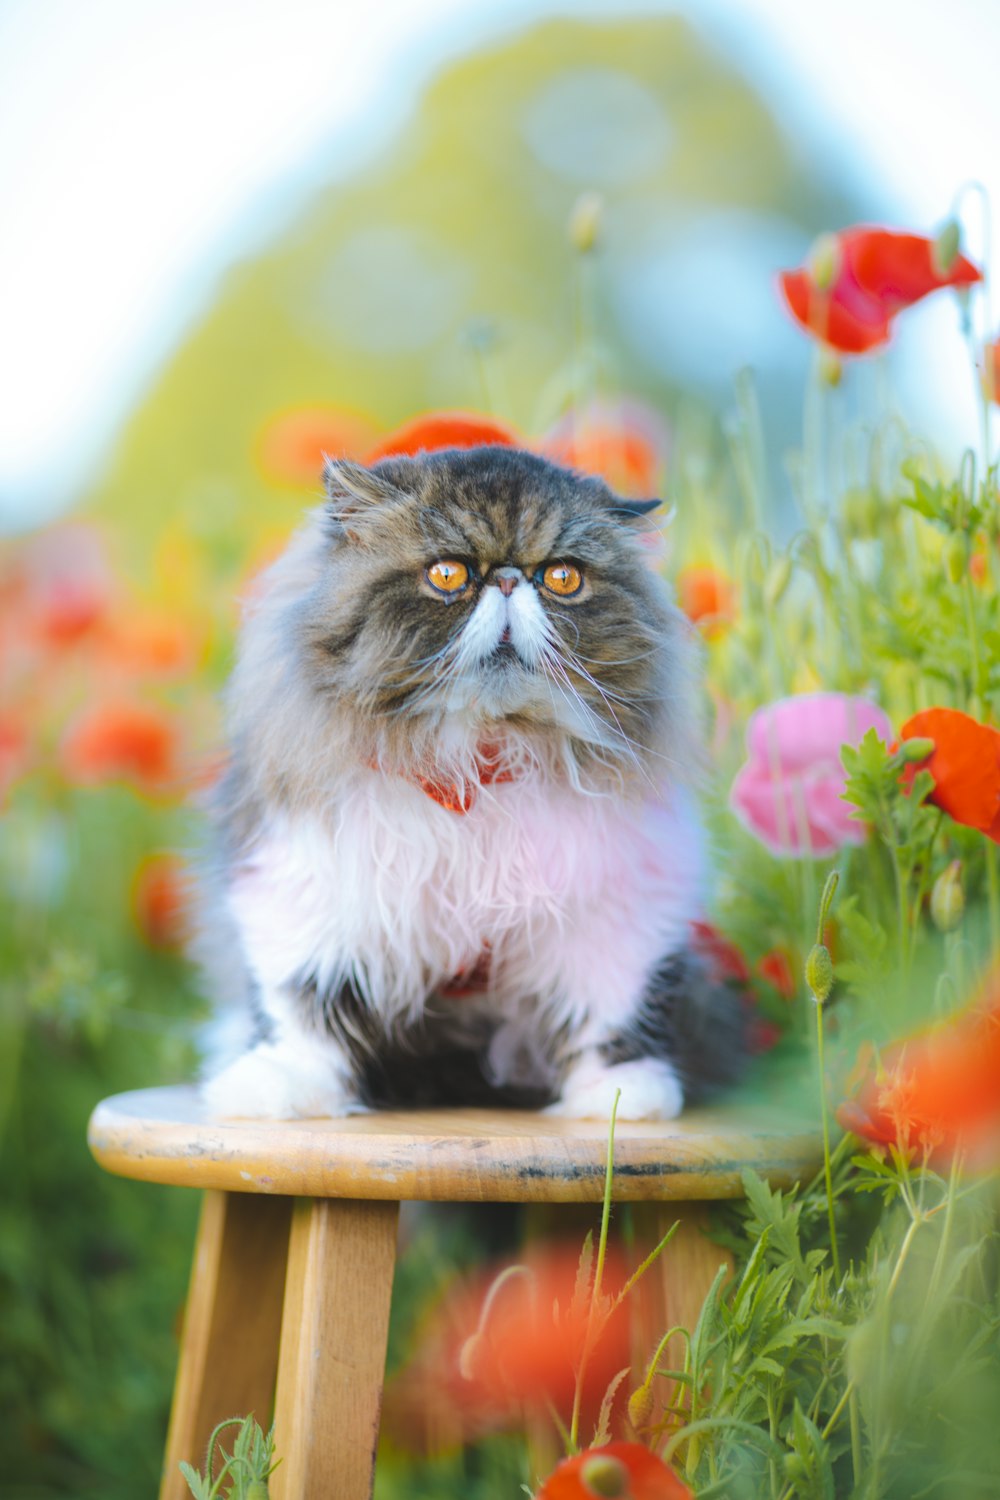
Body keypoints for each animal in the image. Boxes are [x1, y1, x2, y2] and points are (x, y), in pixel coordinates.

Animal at [199, 450, 746, 1122]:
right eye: (448, 574)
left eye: (562, 577)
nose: (509, 580)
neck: (478, 762)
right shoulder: (306, 887)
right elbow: (302, 1011)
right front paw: (280, 1090)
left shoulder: (621, 909)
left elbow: (613, 1011)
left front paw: (623, 1098)